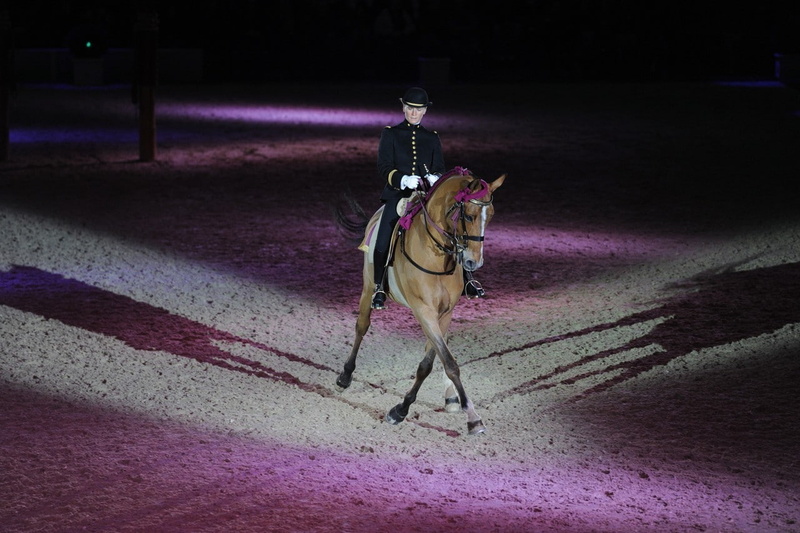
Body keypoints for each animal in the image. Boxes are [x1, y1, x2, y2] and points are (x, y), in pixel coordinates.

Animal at [334, 167, 506, 435]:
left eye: (492, 216)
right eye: (469, 215)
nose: (473, 263)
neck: (437, 255)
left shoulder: (444, 313)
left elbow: (431, 361)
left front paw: (404, 408)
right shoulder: (424, 311)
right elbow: (448, 362)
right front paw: (472, 418)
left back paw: (451, 397)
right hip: (367, 287)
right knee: (361, 326)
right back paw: (345, 376)